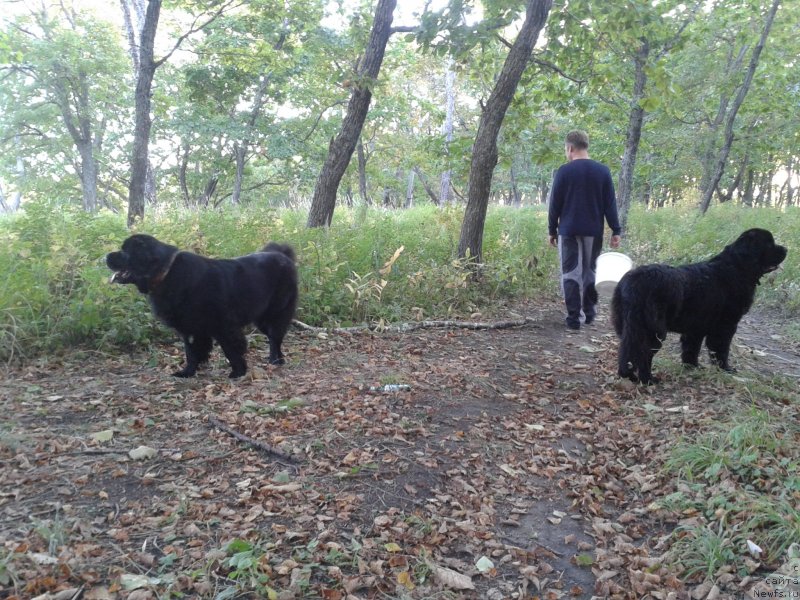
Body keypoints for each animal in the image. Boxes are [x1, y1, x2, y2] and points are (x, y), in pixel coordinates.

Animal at [104, 233, 296, 378]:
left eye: (125, 251)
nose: (105, 256)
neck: (166, 273)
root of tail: (282, 255)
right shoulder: (190, 328)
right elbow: (191, 352)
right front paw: (187, 372)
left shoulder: (223, 326)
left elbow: (231, 349)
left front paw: (238, 371)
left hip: (274, 314)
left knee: (275, 338)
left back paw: (275, 360)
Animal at [612, 230, 788, 384]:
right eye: (769, 244)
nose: (786, 249)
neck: (737, 267)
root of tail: (631, 282)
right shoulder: (725, 326)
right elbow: (721, 349)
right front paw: (726, 369)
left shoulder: (696, 328)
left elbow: (691, 349)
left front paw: (692, 367)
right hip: (653, 331)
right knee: (643, 354)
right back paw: (648, 380)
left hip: (629, 327)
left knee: (627, 350)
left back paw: (627, 375)